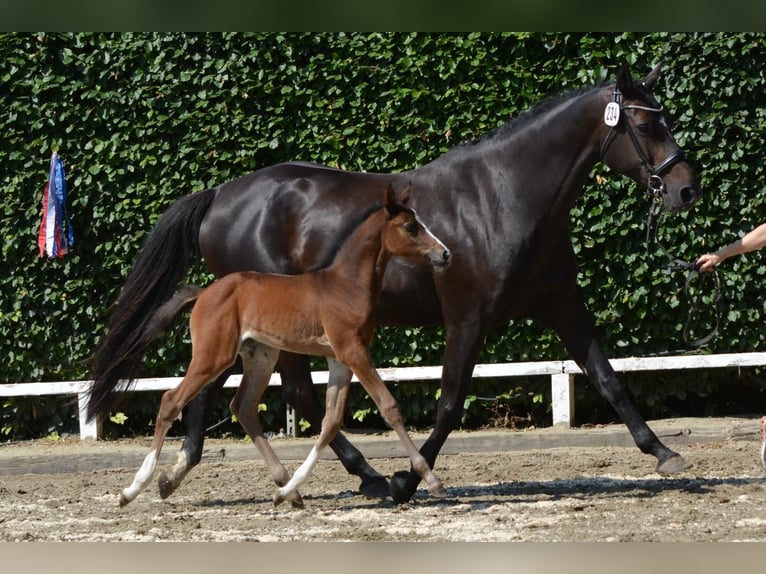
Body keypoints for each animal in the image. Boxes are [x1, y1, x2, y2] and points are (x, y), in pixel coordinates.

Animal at [116, 184, 451, 507]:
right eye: (410, 226)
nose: (445, 254)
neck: (346, 284)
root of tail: (204, 293)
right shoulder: (353, 351)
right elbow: (388, 406)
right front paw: (431, 480)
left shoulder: (340, 358)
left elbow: (331, 422)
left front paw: (287, 490)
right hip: (214, 356)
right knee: (170, 400)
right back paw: (132, 489)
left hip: (261, 356)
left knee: (243, 407)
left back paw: (287, 490)